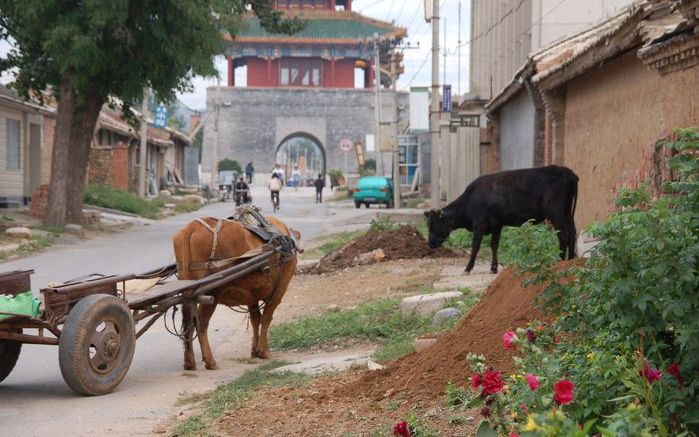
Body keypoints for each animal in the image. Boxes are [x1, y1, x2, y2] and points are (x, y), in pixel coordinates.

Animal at [174, 215, 298, 368]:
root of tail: (191, 228)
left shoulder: (252, 295)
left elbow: (255, 319)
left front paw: (255, 350)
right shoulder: (277, 293)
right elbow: (266, 319)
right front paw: (264, 351)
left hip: (189, 292)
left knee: (189, 323)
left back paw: (189, 361)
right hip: (211, 293)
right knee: (201, 323)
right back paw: (210, 361)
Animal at [426, 166, 580, 272]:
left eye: (433, 224)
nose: (430, 243)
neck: (470, 199)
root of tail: (568, 172)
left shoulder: (479, 224)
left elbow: (475, 246)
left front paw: (468, 268)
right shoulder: (496, 225)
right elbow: (494, 245)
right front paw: (493, 268)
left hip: (557, 213)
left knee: (563, 235)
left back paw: (561, 261)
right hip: (567, 213)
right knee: (572, 233)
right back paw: (571, 259)